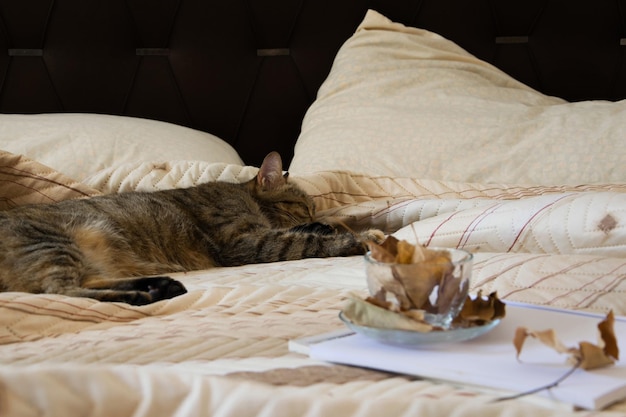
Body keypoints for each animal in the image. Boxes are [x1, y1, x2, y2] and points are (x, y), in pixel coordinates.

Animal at [0, 153, 382, 306]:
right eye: (303, 204)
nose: (314, 212)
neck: (245, 196)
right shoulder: (242, 242)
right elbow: (301, 242)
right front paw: (354, 240)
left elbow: (311, 232)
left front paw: (350, 230)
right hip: (52, 243)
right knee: (59, 290)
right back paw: (142, 296)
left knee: (83, 284)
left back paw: (159, 286)